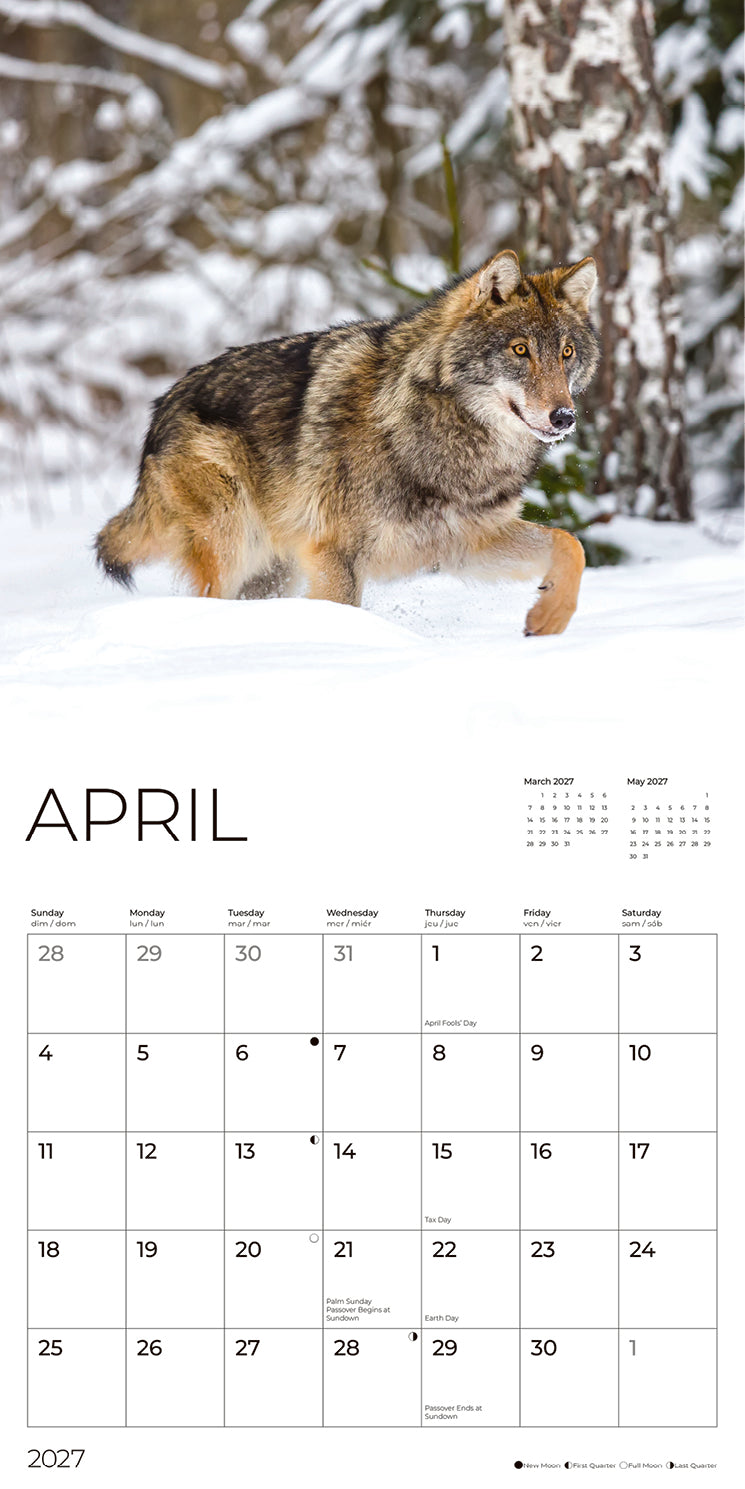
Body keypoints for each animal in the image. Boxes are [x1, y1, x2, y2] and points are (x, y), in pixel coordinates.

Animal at [95, 250, 599, 634]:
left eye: (566, 352)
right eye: (520, 350)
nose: (564, 417)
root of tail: (162, 406)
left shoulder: (467, 544)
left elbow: (571, 544)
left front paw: (551, 617)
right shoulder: (336, 554)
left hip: (273, 570)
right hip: (231, 542)